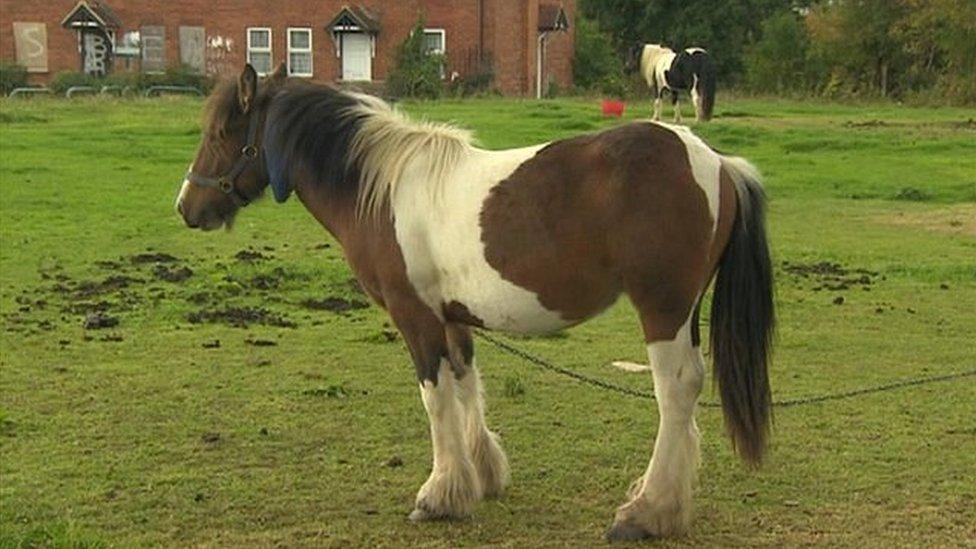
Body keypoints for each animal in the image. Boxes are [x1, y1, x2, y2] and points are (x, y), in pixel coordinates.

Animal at [173, 65, 772, 540]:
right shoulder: (452, 316)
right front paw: (481, 476)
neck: (381, 188)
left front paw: (439, 495)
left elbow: (435, 397)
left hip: (663, 308)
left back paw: (646, 512)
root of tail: (717, 163)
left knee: (676, 390)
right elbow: (465, 383)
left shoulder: (415, 317)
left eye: (221, 131)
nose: (186, 207)